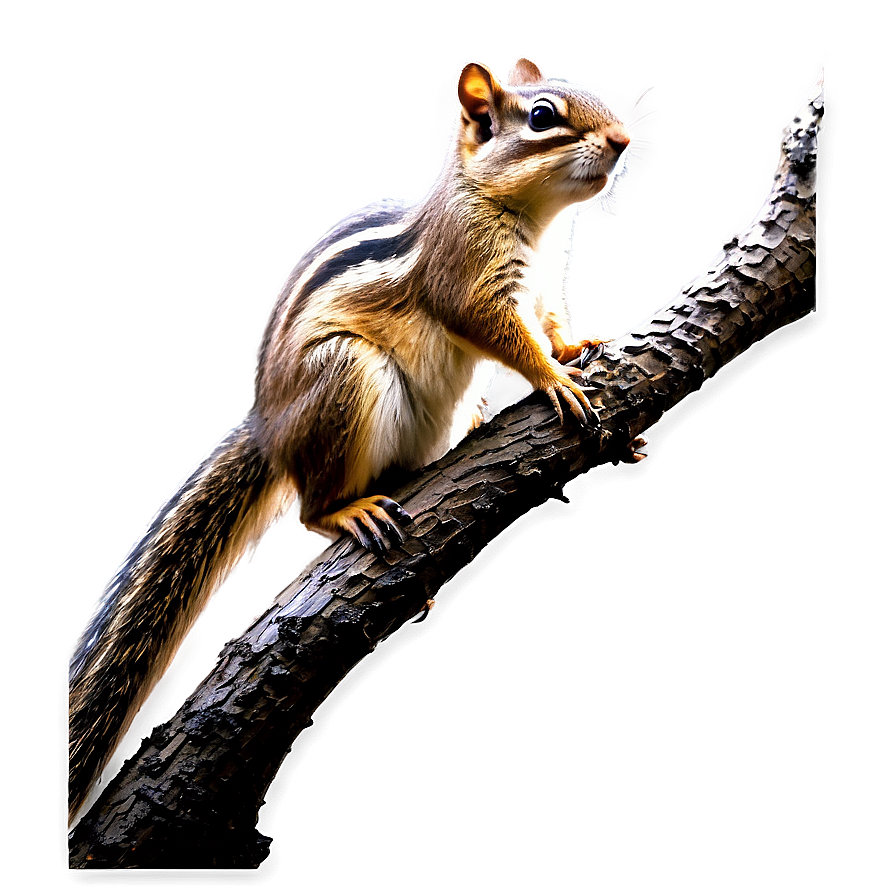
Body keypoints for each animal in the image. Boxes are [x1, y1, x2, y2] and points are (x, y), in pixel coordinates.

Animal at [68, 55, 632, 824]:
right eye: (543, 116)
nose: (625, 140)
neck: (537, 221)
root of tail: (272, 432)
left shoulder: (545, 287)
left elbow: (549, 323)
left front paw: (577, 347)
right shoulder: (467, 278)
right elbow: (500, 333)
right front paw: (552, 379)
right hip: (345, 377)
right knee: (309, 510)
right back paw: (348, 511)